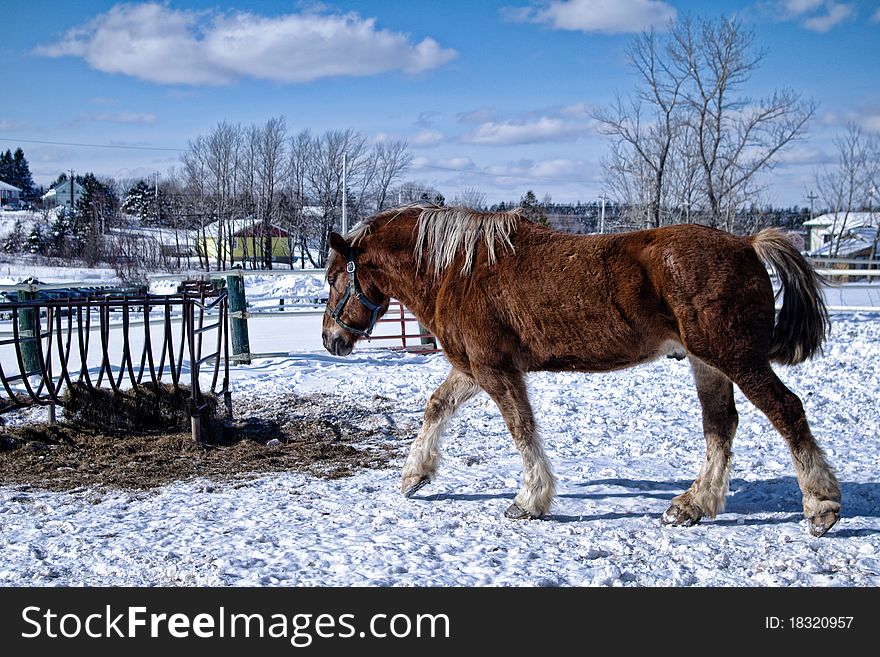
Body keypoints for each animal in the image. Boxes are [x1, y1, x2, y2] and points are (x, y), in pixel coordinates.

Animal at [322, 202, 840, 536]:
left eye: (331, 277)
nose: (331, 340)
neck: (458, 270)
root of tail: (747, 243)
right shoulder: (472, 368)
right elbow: (436, 407)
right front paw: (415, 475)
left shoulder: (495, 370)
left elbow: (521, 428)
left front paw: (530, 501)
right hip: (708, 363)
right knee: (720, 426)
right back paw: (693, 505)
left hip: (735, 357)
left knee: (786, 409)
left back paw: (821, 505)